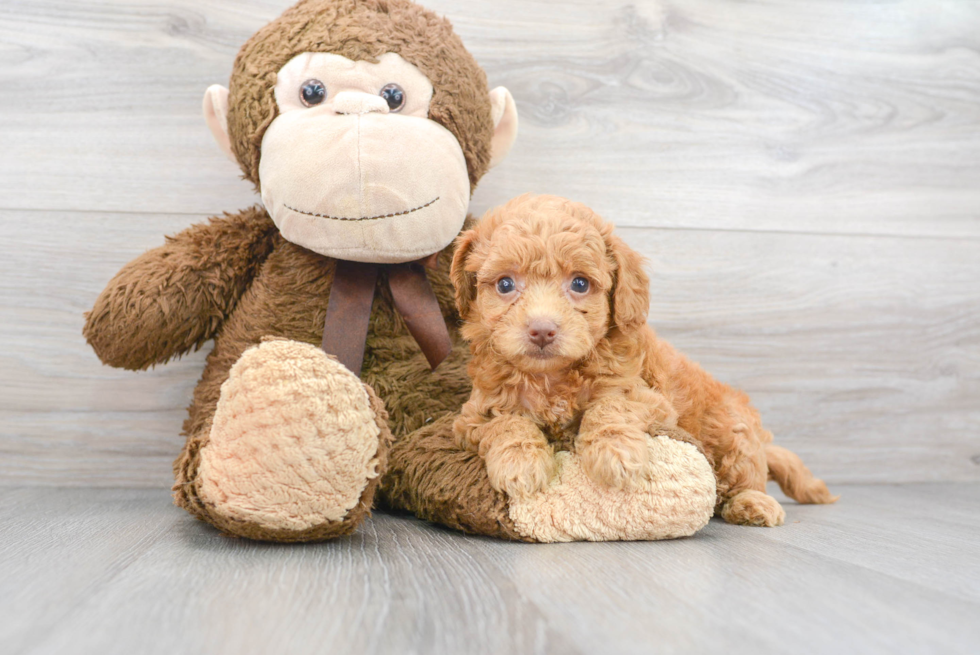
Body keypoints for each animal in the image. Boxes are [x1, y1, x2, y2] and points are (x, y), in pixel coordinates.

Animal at [448, 195, 840, 528]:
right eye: (505, 284)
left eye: (579, 284)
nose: (542, 330)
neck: (552, 378)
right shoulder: (474, 415)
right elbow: (507, 423)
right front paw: (520, 462)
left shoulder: (647, 398)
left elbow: (608, 408)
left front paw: (614, 451)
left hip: (732, 432)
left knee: (747, 474)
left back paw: (753, 504)